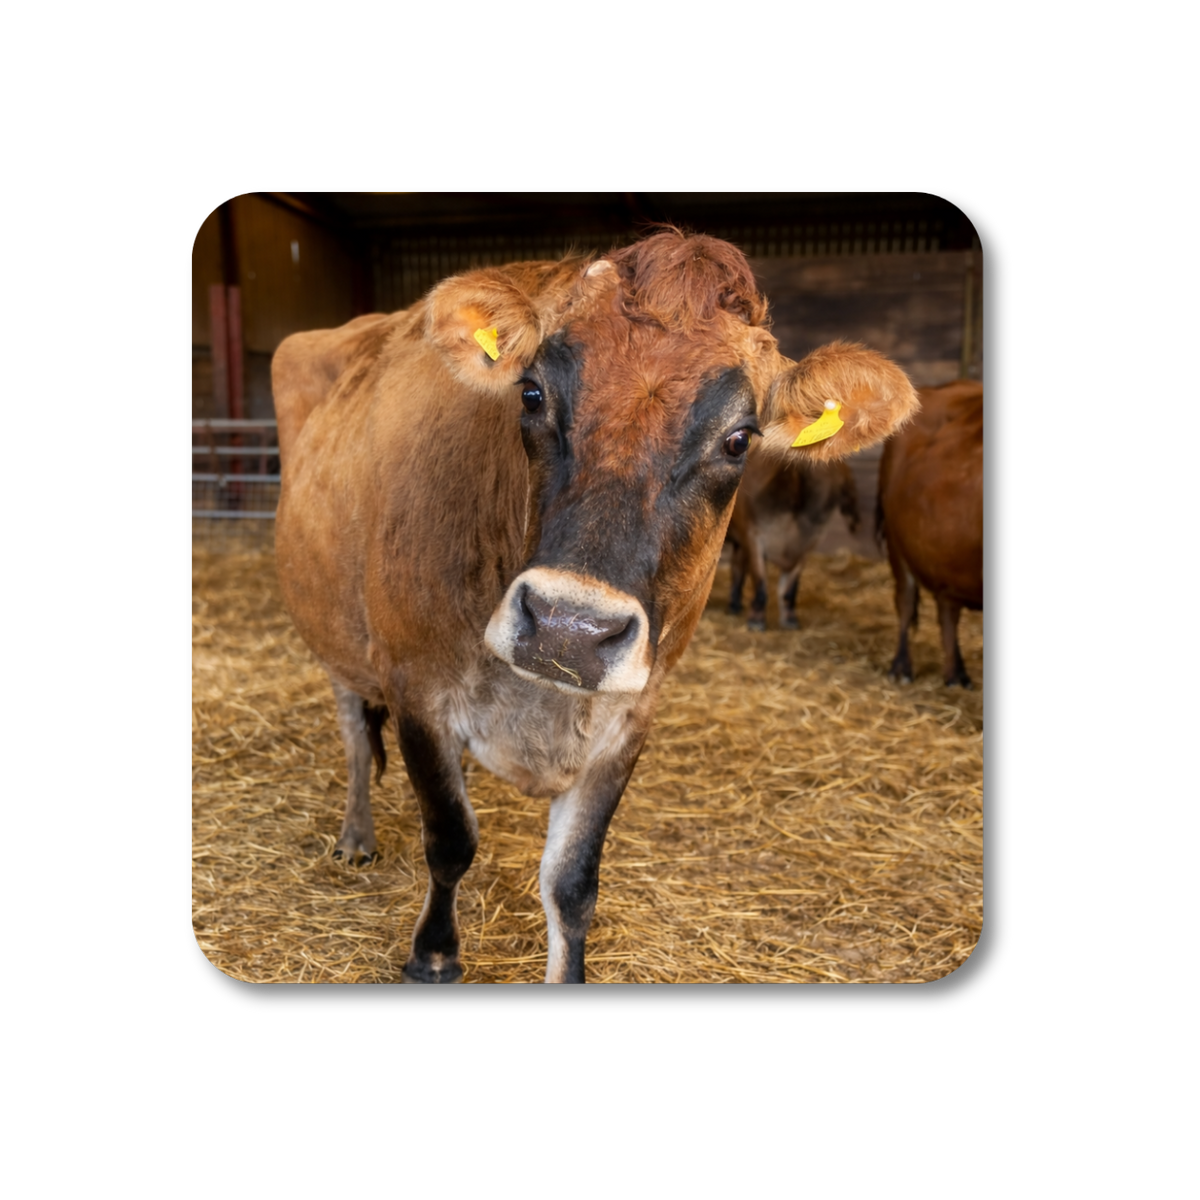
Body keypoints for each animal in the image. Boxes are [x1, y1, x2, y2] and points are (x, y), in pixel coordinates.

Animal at [726, 457, 861, 631]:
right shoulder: (753, 537)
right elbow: (760, 584)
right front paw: (756, 621)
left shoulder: (805, 547)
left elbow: (789, 590)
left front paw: (790, 620)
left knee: (737, 567)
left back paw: (735, 605)